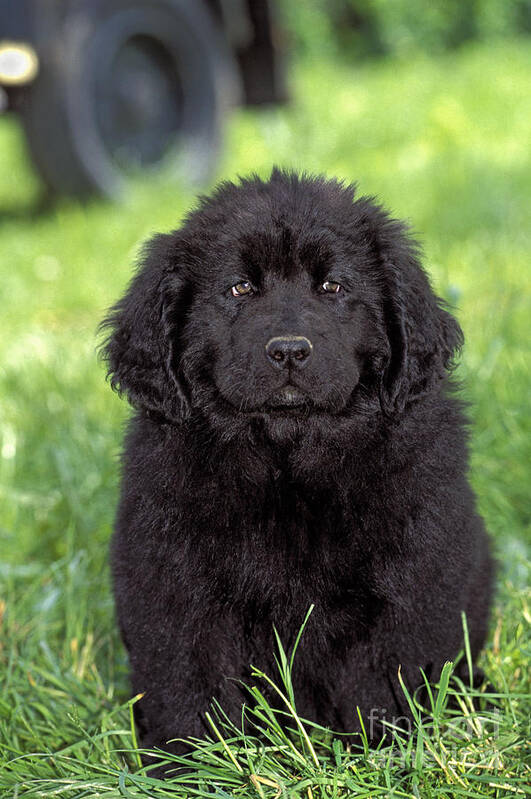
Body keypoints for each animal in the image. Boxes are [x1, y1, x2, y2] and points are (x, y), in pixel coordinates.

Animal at [101, 170, 494, 768]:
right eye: (239, 289)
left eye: (332, 287)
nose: (289, 350)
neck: (288, 465)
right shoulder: (171, 580)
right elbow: (188, 683)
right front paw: (192, 767)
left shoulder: (412, 578)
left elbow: (383, 678)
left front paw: (385, 759)